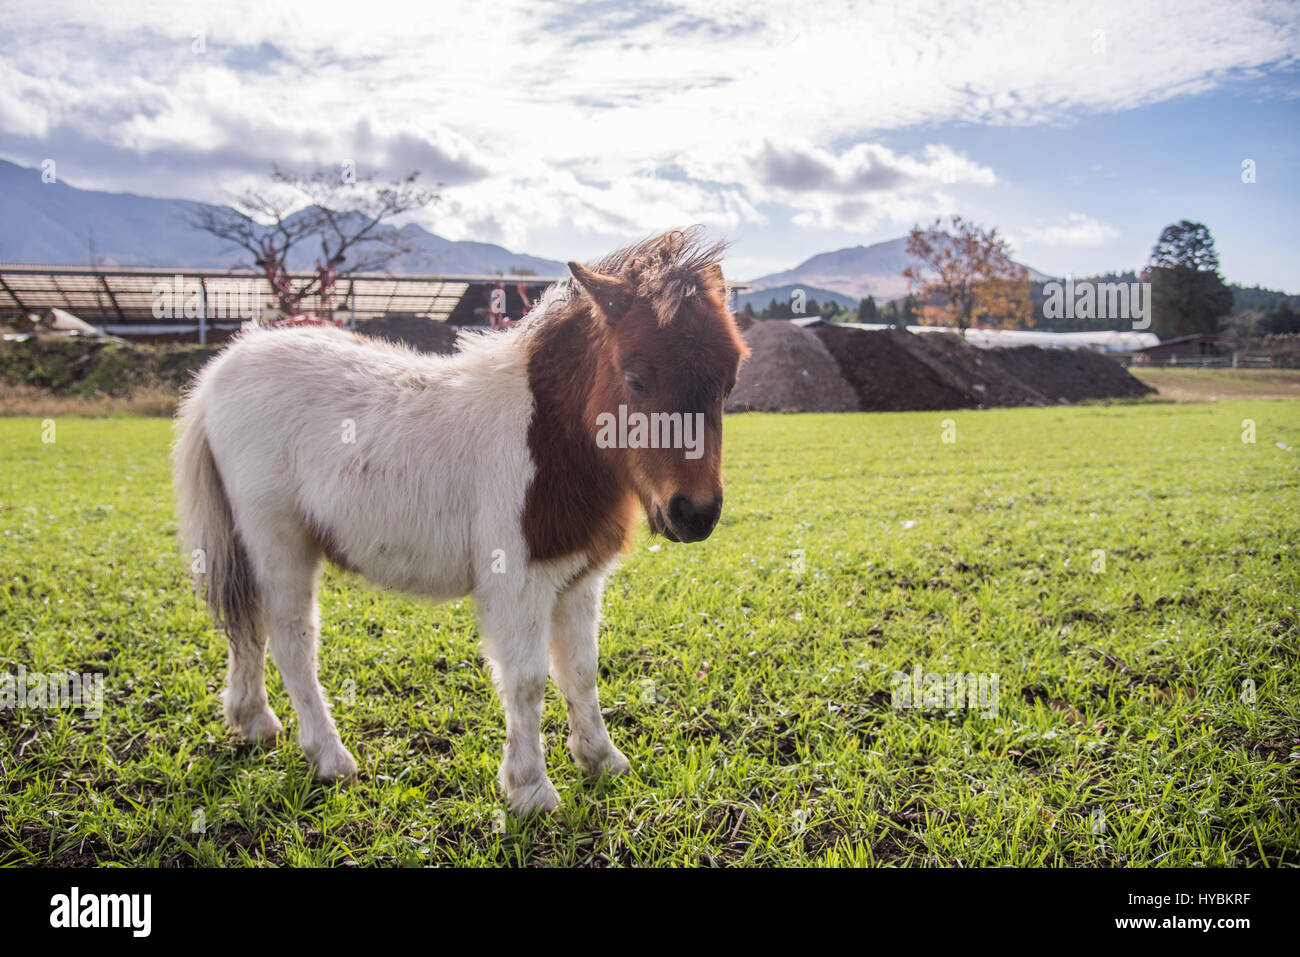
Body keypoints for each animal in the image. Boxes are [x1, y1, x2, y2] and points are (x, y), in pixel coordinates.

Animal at [173, 228, 749, 814]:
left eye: (728, 384)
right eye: (634, 378)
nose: (694, 513)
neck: (549, 438)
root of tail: (221, 371)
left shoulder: (577, 578)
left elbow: (581, 671)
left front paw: (601, 760)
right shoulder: (518, 581)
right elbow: (527, 679)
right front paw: (531, 789)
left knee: (248, 625)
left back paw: (253, 722)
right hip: (280, 542)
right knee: (291, 640)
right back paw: (330, 758)